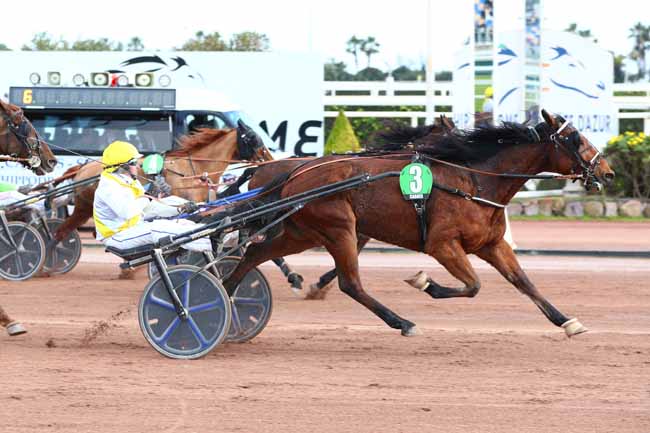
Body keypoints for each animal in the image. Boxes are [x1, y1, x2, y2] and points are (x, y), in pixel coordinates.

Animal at [220, 109, 612, 338]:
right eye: (575, 138)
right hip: (337, 227)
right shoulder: (442, 244)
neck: (474, 181)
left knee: (255, 254)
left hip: (302, 231)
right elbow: (473, 286)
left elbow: (524, 282)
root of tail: (291, 174)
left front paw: (567, 321)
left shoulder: (491, 244)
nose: (607, 172)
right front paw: (425, 282)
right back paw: (402, 322)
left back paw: (228, 293)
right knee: (350, 283)